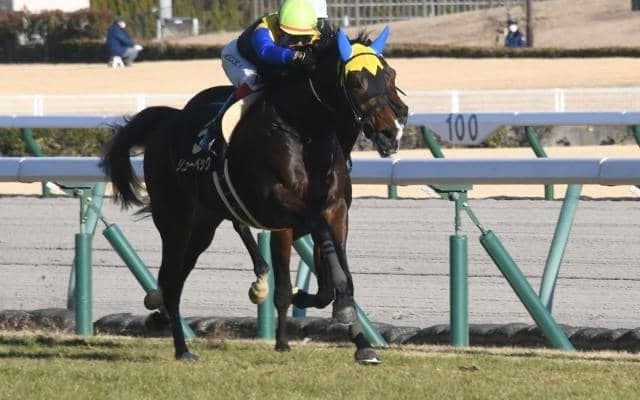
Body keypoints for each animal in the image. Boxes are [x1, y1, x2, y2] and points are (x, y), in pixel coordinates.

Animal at [101, 26, 408, 362]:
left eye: (391, 74)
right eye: (356, 82)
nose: (393, 130)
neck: (304, 131)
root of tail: (167, 121)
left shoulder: (335, 209)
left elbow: (335, 270)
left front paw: (360, 341)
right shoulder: (281, 208)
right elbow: (306, 265)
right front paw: (308, 319)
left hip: (203, 225)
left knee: (177, 276)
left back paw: (161, 315)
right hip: (174, 220)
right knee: (171, 280)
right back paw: (182, 348)